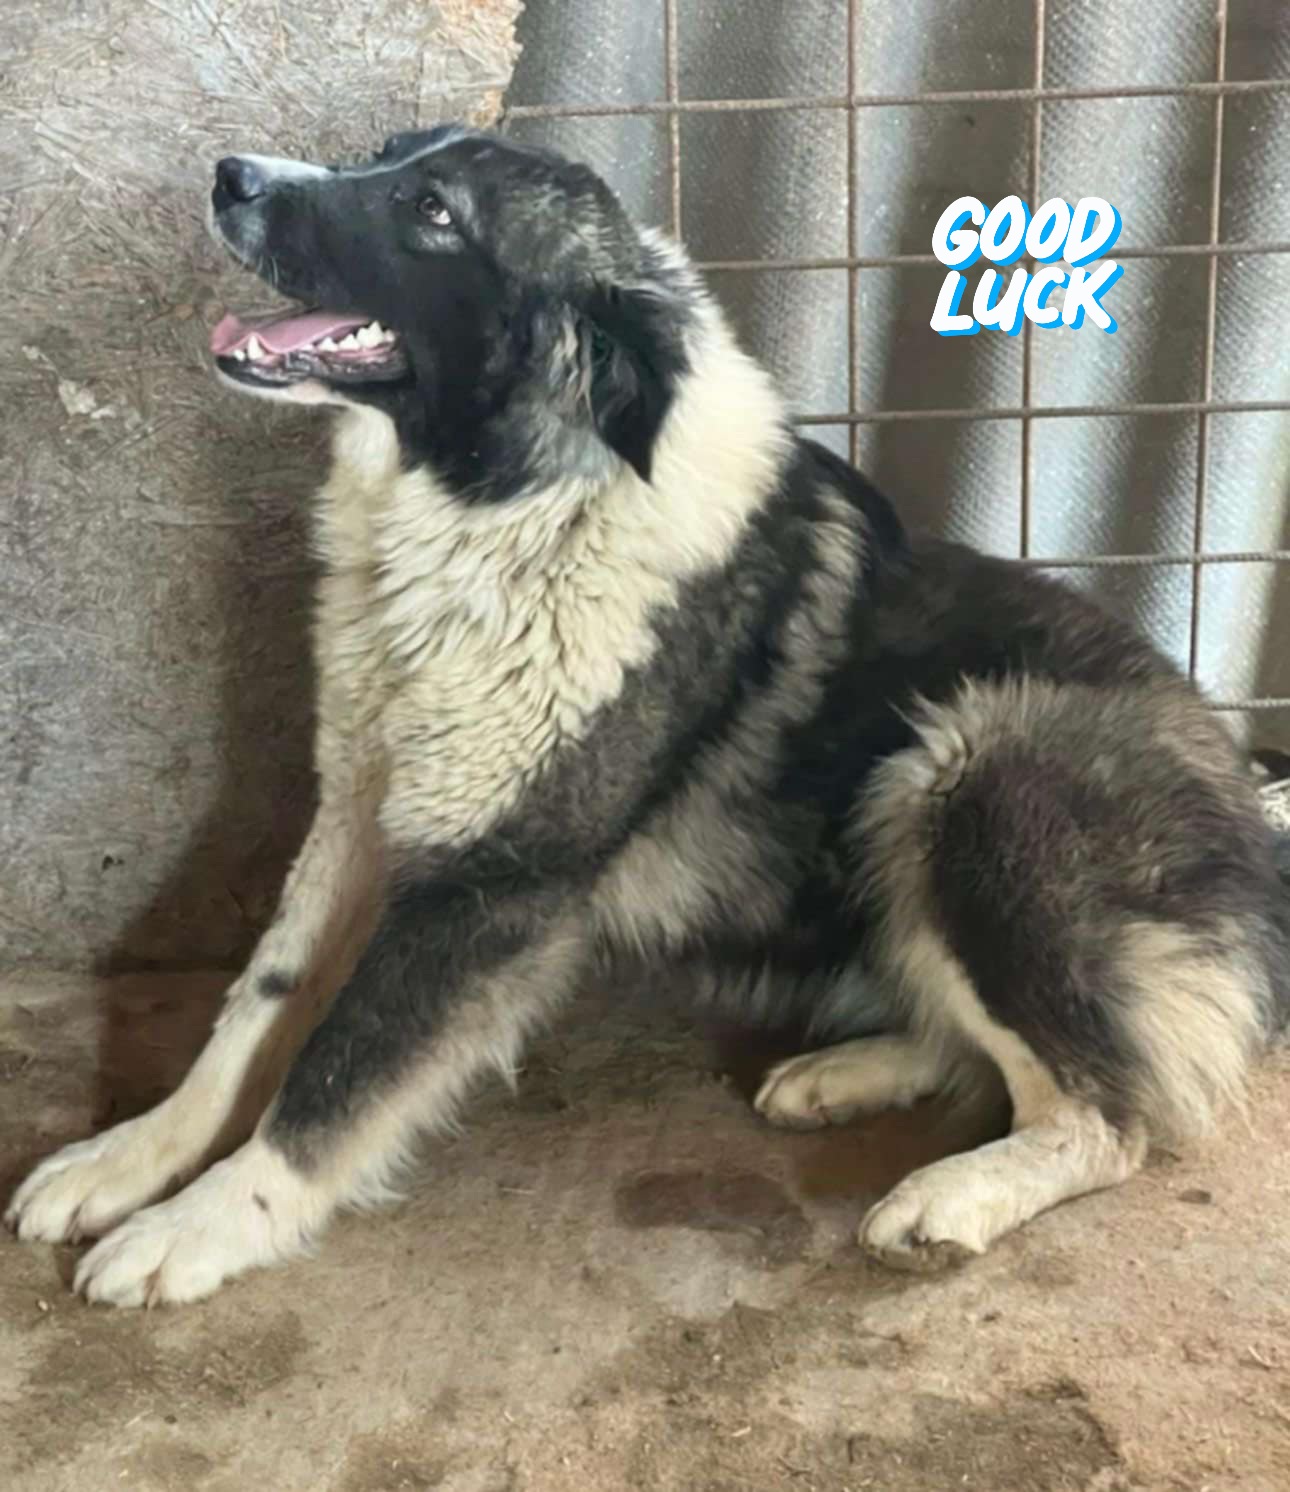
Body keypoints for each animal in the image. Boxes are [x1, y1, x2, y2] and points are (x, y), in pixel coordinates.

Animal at [8, 127, 1290, 1305]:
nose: (231, 173)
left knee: (1105, 1111)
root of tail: (1247, 801)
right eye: (381, 154)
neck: (509, 501)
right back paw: (848, 1072)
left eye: (433, 211)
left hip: (970, 767)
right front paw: (131, 1155)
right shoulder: (363, 809)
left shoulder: (495, 879)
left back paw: (954, 1193)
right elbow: (251, 1015)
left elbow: (331, 1072)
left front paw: (201, 1224)